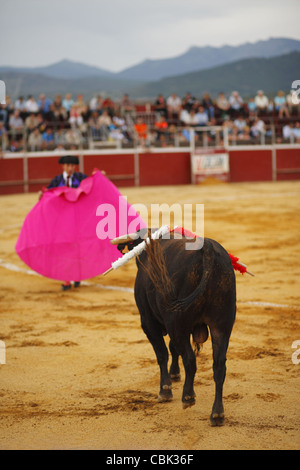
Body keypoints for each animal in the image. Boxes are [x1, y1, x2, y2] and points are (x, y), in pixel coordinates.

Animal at [116, 231, 236, 426]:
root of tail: (208, 249)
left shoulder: (148, 322)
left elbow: (162, 353)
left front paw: (165, 390)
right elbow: (173, 349)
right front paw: (174, 374)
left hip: (177, 323)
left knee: (190, 360)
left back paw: (188, 397)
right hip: (222, 325)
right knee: (219, 366)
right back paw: (217, 414)